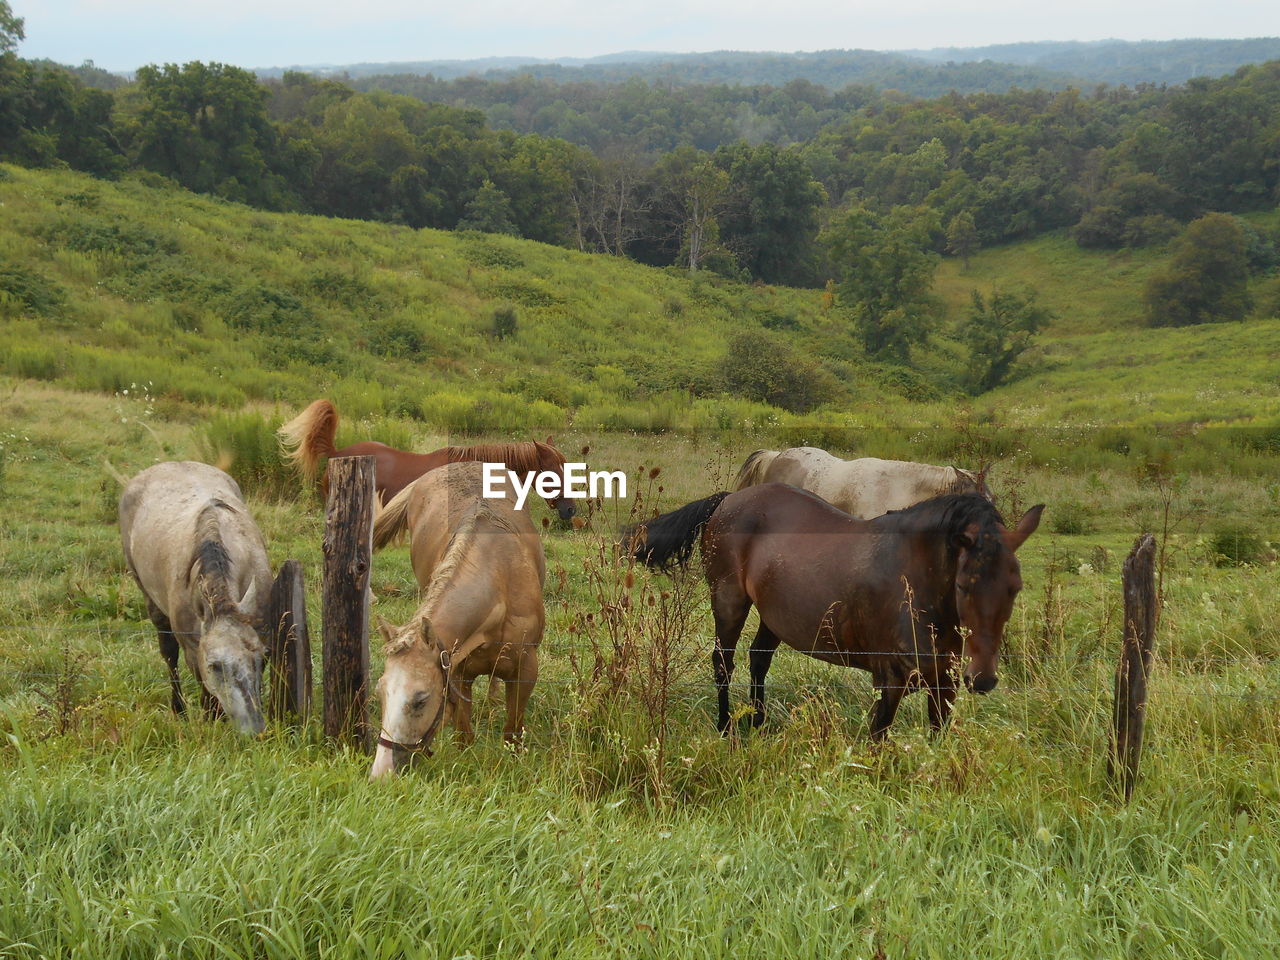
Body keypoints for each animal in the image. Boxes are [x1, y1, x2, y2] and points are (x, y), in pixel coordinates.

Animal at [118, 463, 272, 732]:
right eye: (215, 666)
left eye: (263, 659)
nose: (255, 729)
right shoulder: (193, 650)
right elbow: (206, 692)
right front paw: (211, 721)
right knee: (169, 654)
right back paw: (178, 709)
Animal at [368, 460, 542, 783]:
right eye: (380, 692)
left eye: (420, 699)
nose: (381, 773)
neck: (500, 578)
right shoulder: (457, 672)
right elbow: (464, 735)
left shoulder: (526, 669)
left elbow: (512, 732)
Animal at [629, 483, 1039, 742]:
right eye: (964, 585)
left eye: (1014, 587)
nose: (982, 678)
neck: (915, 583)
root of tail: (729, 499)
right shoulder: (890, 679)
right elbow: (878, 740)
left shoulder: (945, 683)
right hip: (729, 601)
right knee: (723, 664)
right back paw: (726, 727)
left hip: (775, 614)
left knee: (758, 659)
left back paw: (759, 723)